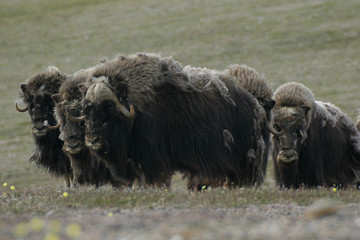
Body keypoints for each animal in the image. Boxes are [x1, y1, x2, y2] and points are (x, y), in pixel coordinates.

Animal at [73, 53, 266, 188]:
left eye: (108, 108)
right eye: (86, 109)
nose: (91, 139)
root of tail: (251, 102)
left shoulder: (152, 159)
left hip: (241, 159)